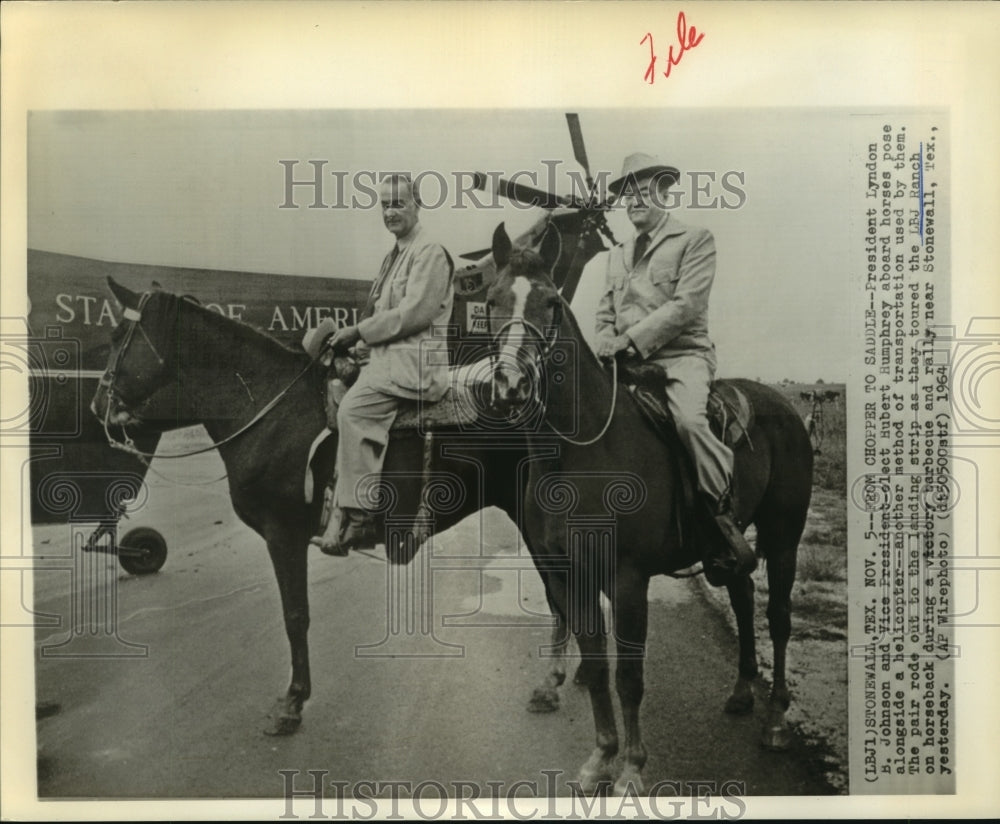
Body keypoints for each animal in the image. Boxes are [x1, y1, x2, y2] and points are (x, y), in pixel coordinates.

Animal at [484, 222, 812, 796]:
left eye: (551, 302)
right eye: (492, 299)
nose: (511, 384)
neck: (578, 454)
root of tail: (787, 409)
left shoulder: (628, 579)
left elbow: (628, 675)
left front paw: (632, 770)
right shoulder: (570, 575)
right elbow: (596, 666)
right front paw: (600, 758)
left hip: (783, 539)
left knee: (777, 618)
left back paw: (774, 720)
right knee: (743, 598)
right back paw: (741, 693)